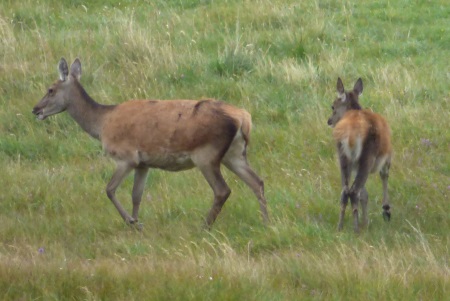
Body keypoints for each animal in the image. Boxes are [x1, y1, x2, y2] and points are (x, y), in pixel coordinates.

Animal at [32, 57, 270, 229]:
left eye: (50, 89)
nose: (35, 109)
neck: (101, 124)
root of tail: (244, 118)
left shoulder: (125, 156)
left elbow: (109, 189)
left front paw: (130, 221)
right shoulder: (143, 163)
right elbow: (136, 195)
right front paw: (137, 223)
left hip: (206, 154)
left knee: (222, 190)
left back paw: (205, 226)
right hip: (235, 153)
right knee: (257, 181)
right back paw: (266, 222)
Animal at [326, 77, 390, 232]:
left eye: (332, 106)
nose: (329, 121)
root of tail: (350, 135)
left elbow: (364, 194)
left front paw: (366, 221)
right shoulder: (387, 156)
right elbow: (384, 176)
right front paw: (386, 210)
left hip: (343, 156)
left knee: (345, 191)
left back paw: (340, 227)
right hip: (367, 156)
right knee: (354, 191)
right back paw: (356, 229)